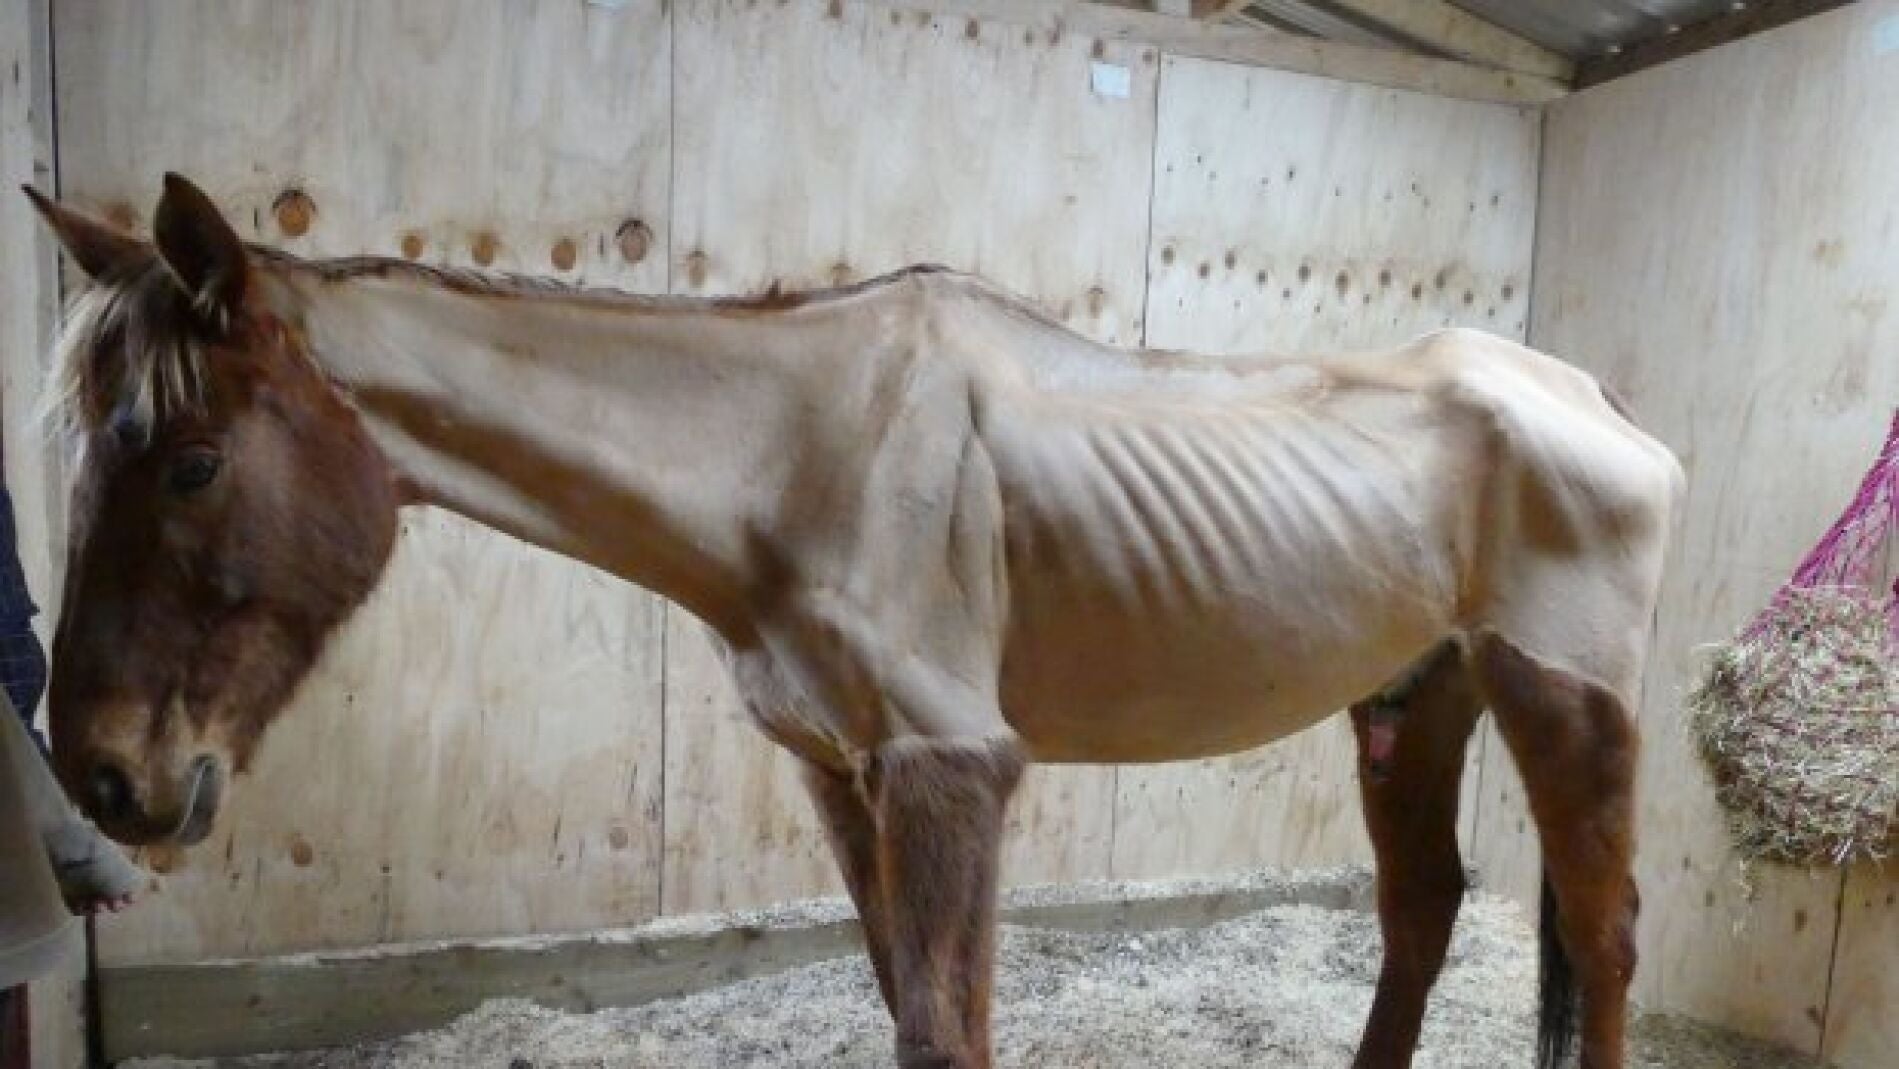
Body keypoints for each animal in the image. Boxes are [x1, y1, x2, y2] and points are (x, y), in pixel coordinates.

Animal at [27, 174, 1681, 1069]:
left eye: (188, 461)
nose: (101, 774)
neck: (803, 451)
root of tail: (1599, 403)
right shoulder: (841, 774)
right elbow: (908, 1006)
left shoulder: (949, 771)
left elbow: (940, 1027)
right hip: (1415, 697)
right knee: (1420, 915)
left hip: (1564, 699)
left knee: (1603, 934)